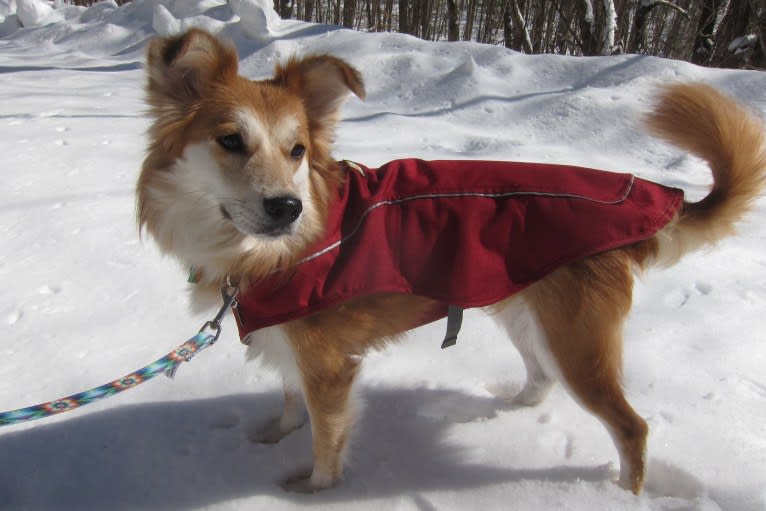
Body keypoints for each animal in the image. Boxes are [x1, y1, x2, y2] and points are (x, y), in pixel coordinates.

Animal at [136, 29, 766, 496]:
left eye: (297, 151)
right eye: (230, 141)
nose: (286, 208)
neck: (264, 252)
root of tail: (641, 196)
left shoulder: (329, 365)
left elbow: (326, 440)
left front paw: (314, 491)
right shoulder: (289, 340)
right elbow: (291, 397)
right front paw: (274, 434)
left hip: (578, 343)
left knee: (631, 428)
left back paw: (622, 496)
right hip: (524, 312)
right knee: (540, 380)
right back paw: (498, 411)